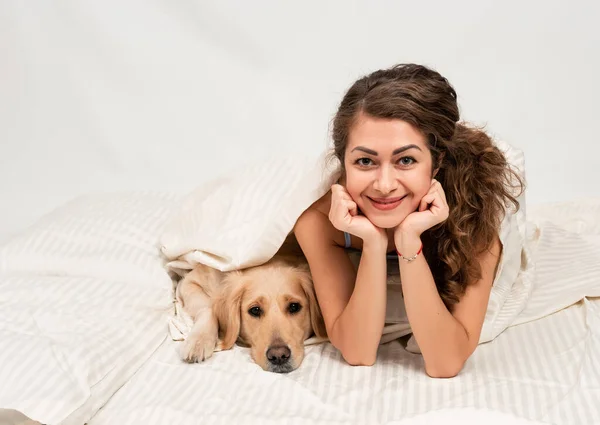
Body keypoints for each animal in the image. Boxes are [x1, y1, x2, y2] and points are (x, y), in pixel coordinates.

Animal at [177, 237, 326, 372]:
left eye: (294, 306)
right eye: (255, 310)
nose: (279, 356)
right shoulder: (189, 281)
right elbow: (208, 308)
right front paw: (198, 341)